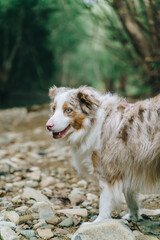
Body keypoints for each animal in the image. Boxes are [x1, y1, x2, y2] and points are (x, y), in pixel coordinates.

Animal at [46, 86, 160, 223]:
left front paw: (98, 222)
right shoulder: (127, 167)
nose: (48, 126)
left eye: (68, 110)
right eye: (53, 109)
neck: (93, 123)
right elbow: (130, 198)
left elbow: (104, 203)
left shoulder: (106, 170)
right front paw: (133, 216)